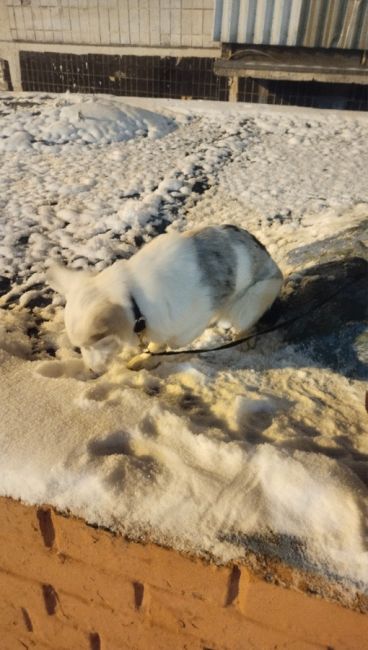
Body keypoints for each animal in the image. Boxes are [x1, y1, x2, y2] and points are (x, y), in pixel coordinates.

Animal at [46, 225, 282, 372]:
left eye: (94, 343)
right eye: (78, 348)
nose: (91, 371)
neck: (134, 299)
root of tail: (273, 262)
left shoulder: (187, 324)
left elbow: (164, 344)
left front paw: (145, 359)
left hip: (251, 301)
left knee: (245, 323)